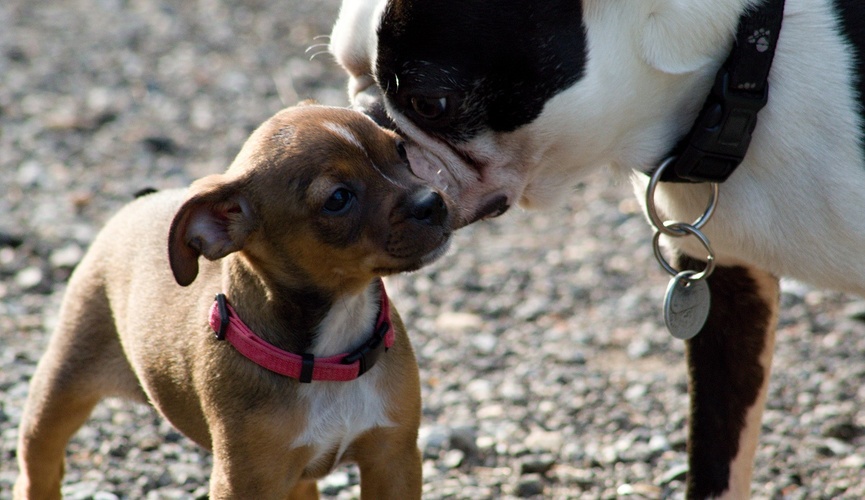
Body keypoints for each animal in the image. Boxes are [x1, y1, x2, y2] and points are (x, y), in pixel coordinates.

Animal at [15, 103, 452, 498]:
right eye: (338, 199)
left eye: (401, 150)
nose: (432, 202)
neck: (331, 352)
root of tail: (138, 203)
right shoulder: (246, 480)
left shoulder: (393, 457)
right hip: (59, 390)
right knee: (39, 466)